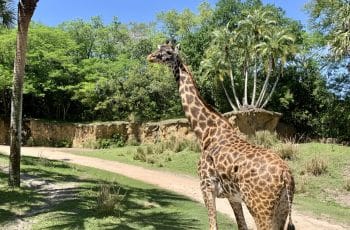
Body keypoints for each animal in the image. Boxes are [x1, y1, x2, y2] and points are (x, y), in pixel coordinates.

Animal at [148, 41, 296, 230]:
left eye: (167, 53)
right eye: (158, 48)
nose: (150, 57)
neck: (205, 132)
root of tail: (286, 176)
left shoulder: (206, 186)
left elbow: (213, 226)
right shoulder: (232, 196)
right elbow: (241, 226)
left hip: (260, 207)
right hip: (282, 207)